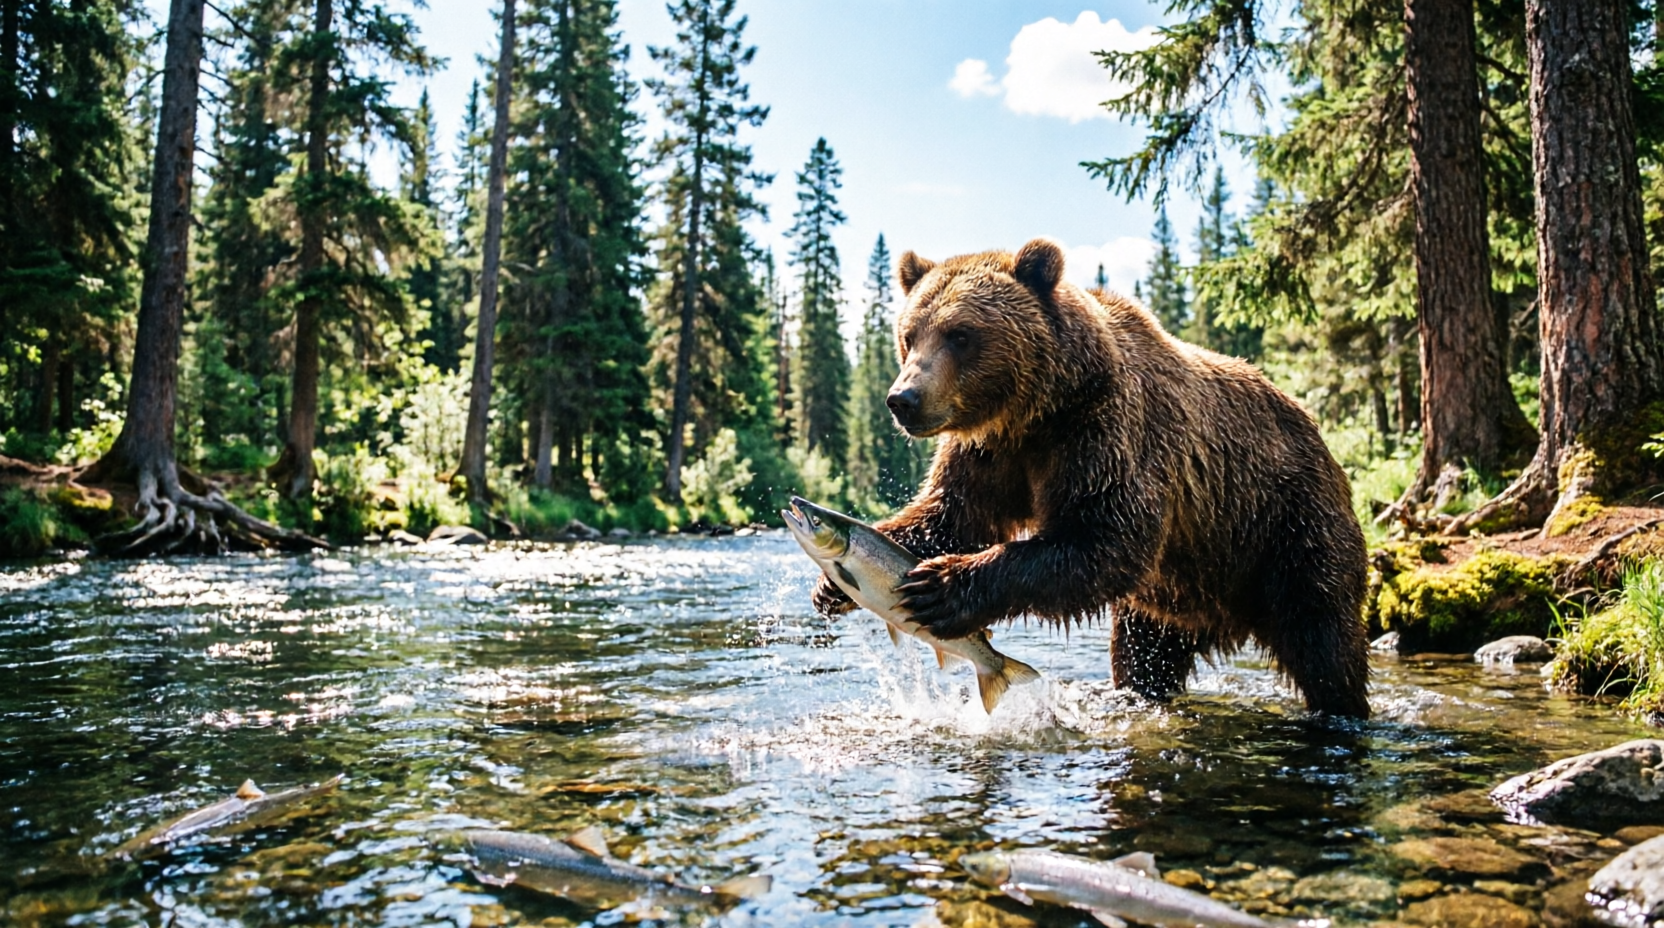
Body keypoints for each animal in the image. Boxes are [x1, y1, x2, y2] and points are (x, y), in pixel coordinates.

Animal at [811, 237, 1372, 718]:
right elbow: (952, 516)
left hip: (1285, 528)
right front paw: (832, 585)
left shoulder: (1105, 435)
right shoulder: (989, 453)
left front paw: (944, 585)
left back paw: (1341, 708)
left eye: (961, 334)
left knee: (1325, 640)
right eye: (909, 335)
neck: (1033, 411)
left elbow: (1103, 540)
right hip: (1178, 598)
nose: (903, 399)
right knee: (1145, 656)